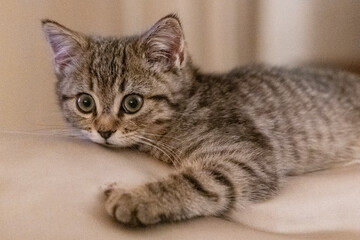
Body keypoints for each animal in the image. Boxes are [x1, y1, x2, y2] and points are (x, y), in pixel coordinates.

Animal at [41, 14, 360, 227]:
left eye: (132, 103)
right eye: (85, 103)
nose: (104, 131)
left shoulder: (250, 155)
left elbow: (201, 180)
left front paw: (137, 198)